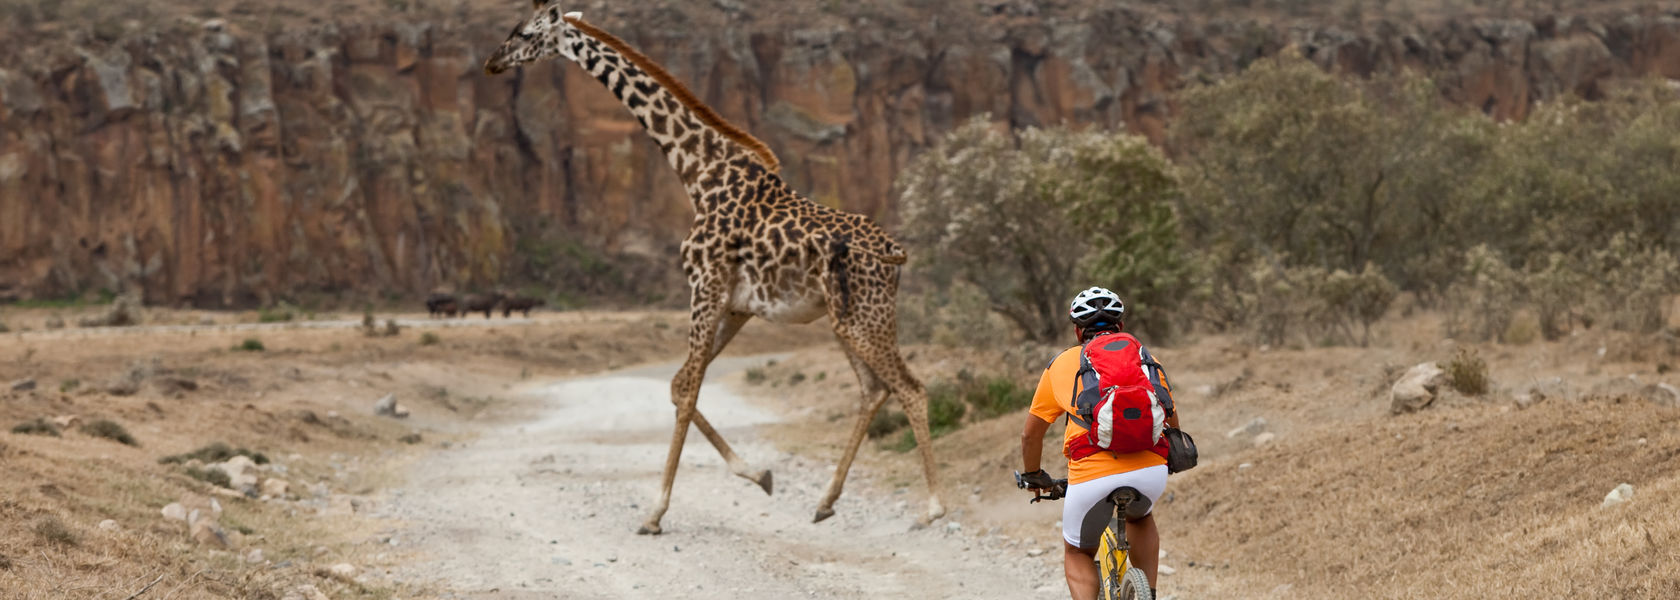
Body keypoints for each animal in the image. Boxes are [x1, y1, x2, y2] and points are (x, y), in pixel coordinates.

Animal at [487, 0, 947, 534]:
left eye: (524, 32)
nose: (492, 62)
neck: (697, 173)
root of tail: (897, 253)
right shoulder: (735, 304)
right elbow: (677, 384)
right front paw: (759, 474)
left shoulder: (704, 288)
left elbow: (686, 390)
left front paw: (655, 512)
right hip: (846, 320)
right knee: (874, 390)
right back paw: (825, 501)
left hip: (865, 318)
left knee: (910, 388)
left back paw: (933, 508)